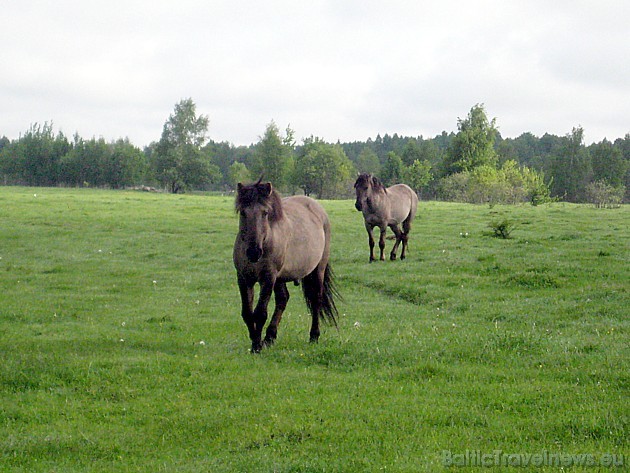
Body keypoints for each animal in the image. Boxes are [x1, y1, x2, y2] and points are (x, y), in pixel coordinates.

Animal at [233, 179, 340, 352]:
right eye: (243, 212)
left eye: (265, 213)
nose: (254, 252)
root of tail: (318, 209)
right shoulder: (244, 278)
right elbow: (247, 313)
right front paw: (256, 341)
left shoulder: (268, 278)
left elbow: (260, 313)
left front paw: (257, 346)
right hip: (280, 278)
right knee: (283, 299)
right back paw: (269, 337)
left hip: (318, 269)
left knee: (316, 299)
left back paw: (314, 336)